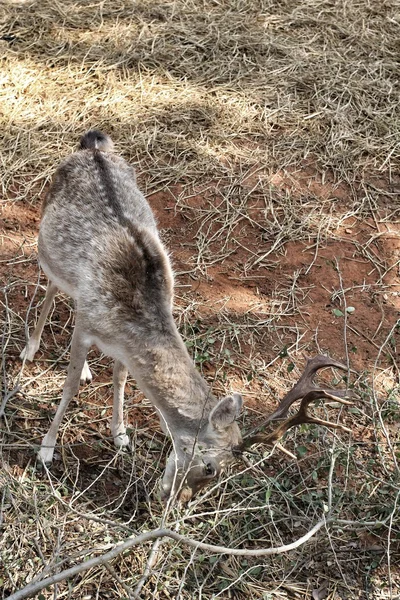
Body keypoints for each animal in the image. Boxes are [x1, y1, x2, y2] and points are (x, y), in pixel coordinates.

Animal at [21, 131, 354, 502]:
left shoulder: (121, 343)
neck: (132, 316)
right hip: (46, 250)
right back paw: (31, 348)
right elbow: (68, 388)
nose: (175, 497)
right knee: (51, 288)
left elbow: (121, 378)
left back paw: (89, 370)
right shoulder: (89, 322)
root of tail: (93, 146)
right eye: (210, 467)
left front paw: (120, 434)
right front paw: (46, 449)